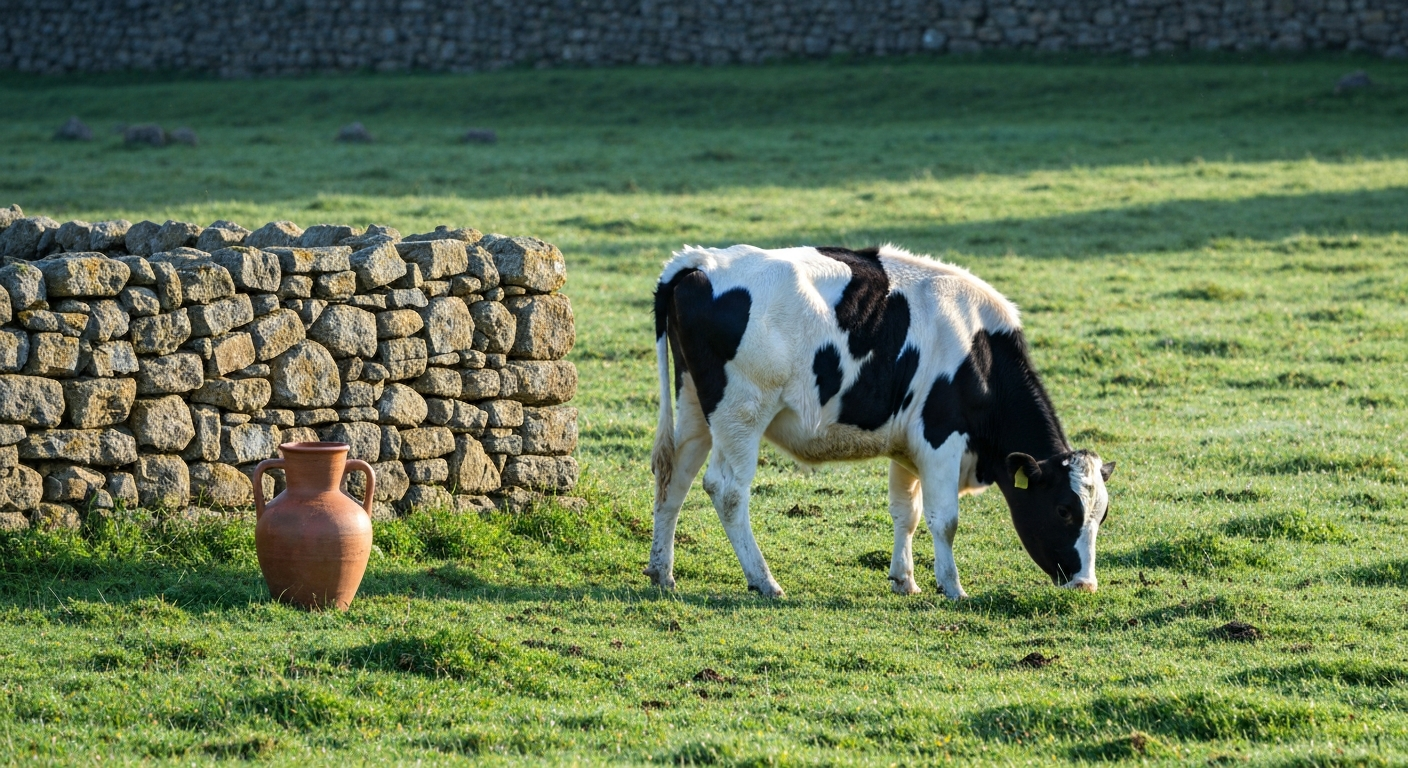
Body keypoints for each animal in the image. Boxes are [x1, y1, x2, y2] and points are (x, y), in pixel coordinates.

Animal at [646, 243, 1115, 599]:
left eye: (1102, 515)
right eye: (1064, 510)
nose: (1086, 584)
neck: (980, 352)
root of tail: (700, 261)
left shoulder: (907, 445)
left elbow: (906, 512)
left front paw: (904, 580)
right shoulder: (940, 438)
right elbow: (945, 519)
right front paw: (953, 588)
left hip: (694, 406)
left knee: (675, 477)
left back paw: (662, 572)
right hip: (741, 412)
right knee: (726, 490)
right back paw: (764, 581)